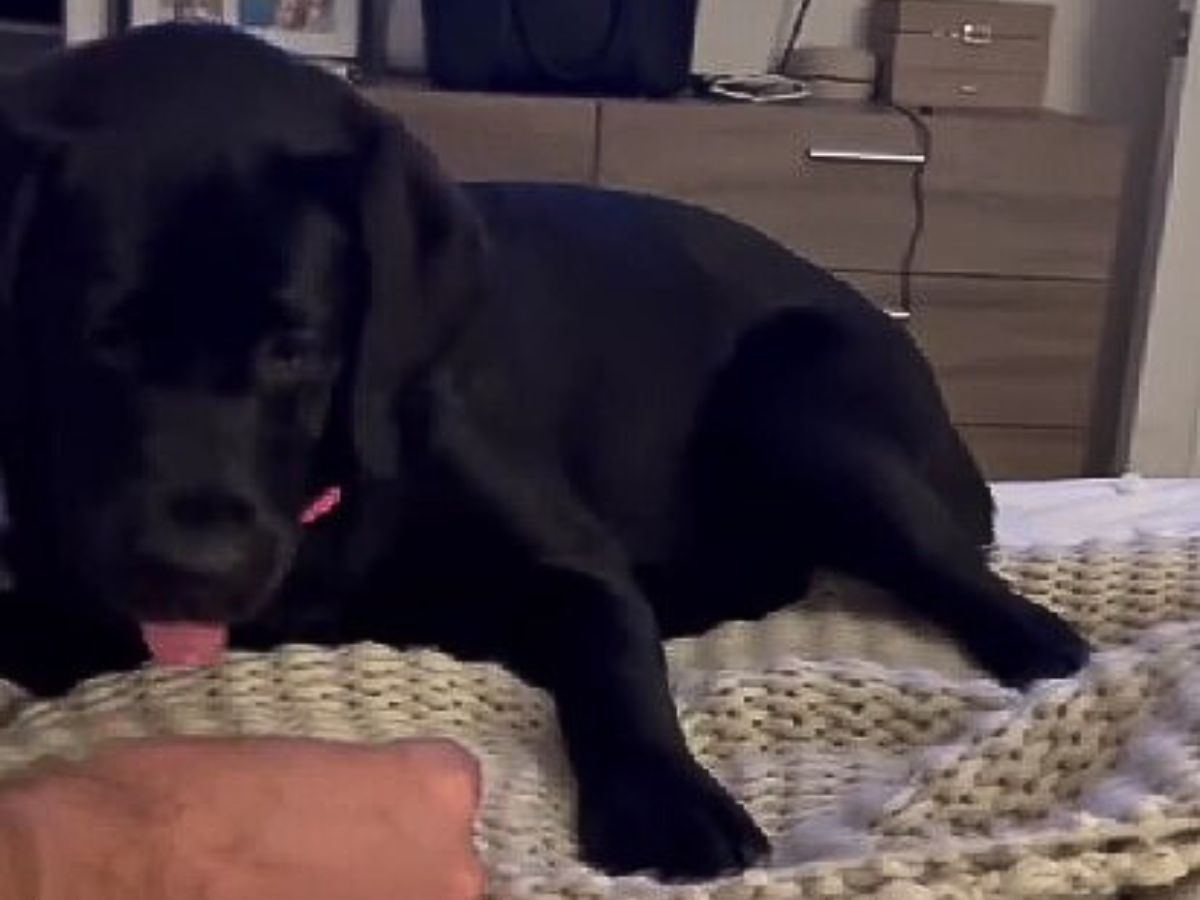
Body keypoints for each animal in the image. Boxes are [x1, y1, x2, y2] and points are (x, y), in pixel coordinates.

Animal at [0, 26, 1089, 883]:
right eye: (95, 336)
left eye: (293, 347)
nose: (189, 574)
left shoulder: (573, 561)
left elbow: (615, 654)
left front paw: (669, 801)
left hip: (797, 410)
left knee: (974, 583)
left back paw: (1037, 651)